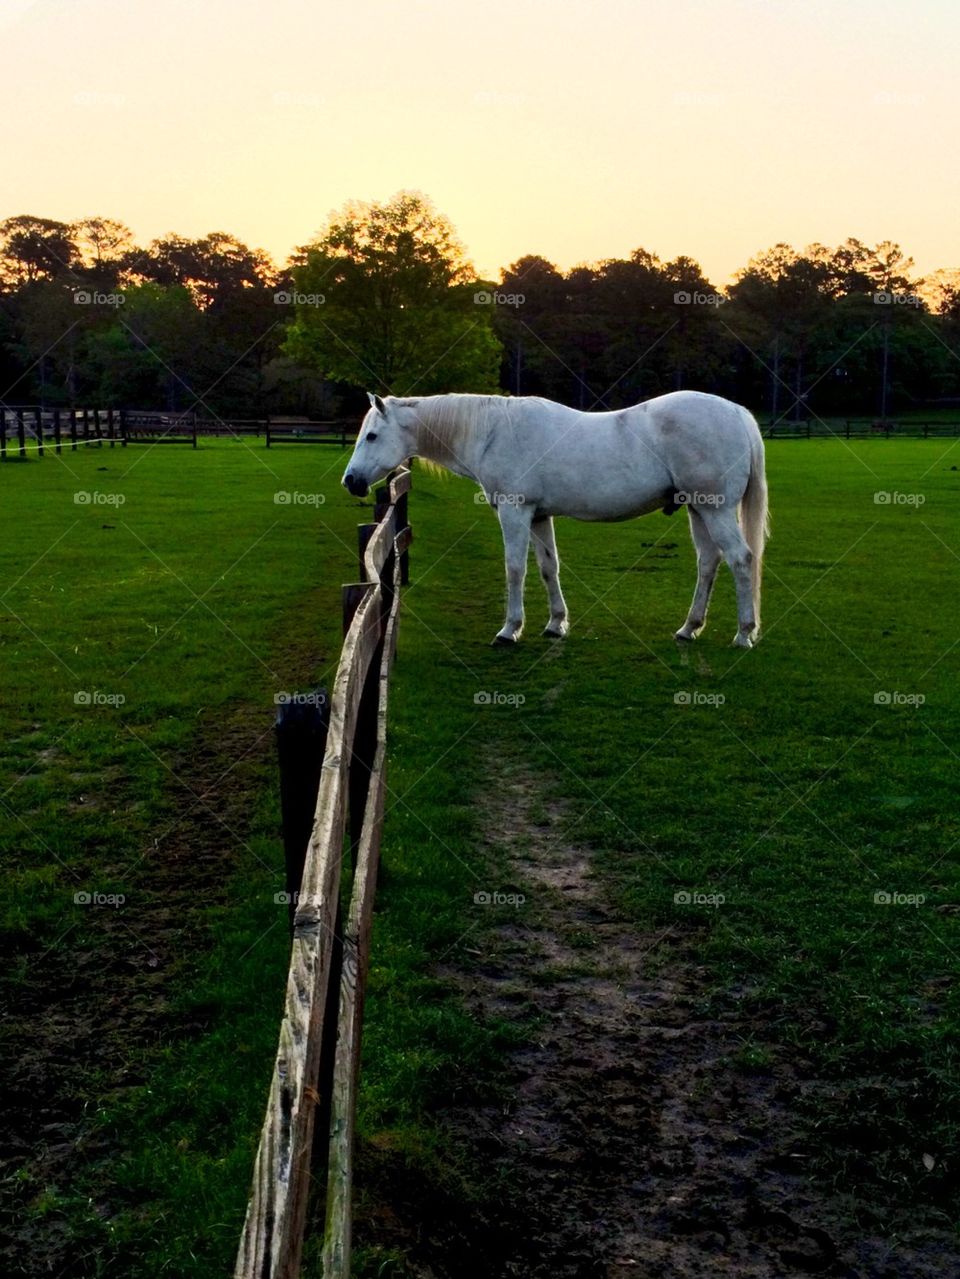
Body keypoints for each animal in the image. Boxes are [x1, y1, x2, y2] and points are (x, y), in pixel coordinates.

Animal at [342, 386, 772, 649]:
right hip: (699, 509)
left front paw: (509, 629)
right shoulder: (538, 516)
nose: (351, 481)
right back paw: (689, 628)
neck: (493, 432)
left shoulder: (515, 511)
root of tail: (737, 413)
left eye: (372, 436)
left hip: (715, 509)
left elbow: (515, 569)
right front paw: (555, 623)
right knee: (708, 563)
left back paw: (743, 633)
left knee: (740, 560)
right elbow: (549, 567)